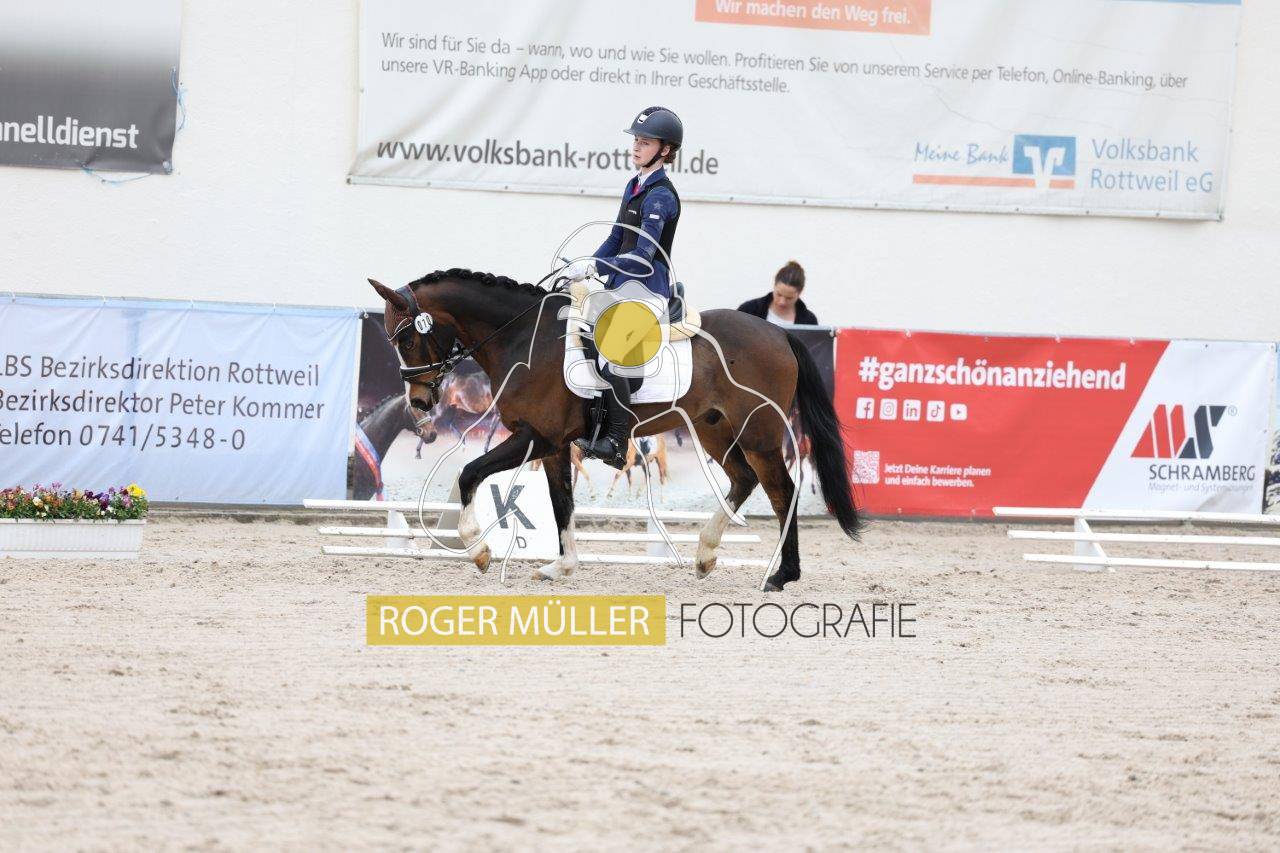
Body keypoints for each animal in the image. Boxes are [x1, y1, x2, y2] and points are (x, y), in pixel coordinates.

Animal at [368, 268, 860, 590]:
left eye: (407, 338)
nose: (420, 402)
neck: (524, 338)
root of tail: (778, 335)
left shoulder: (535, 437)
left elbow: (469, 473)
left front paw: (479, 550)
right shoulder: (553, 445)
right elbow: (560, 502)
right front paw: (561, 567)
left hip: (758, 434)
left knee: (782, 491)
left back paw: (781, 575)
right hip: (716, 430)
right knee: (744, 480)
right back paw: (705, 554)